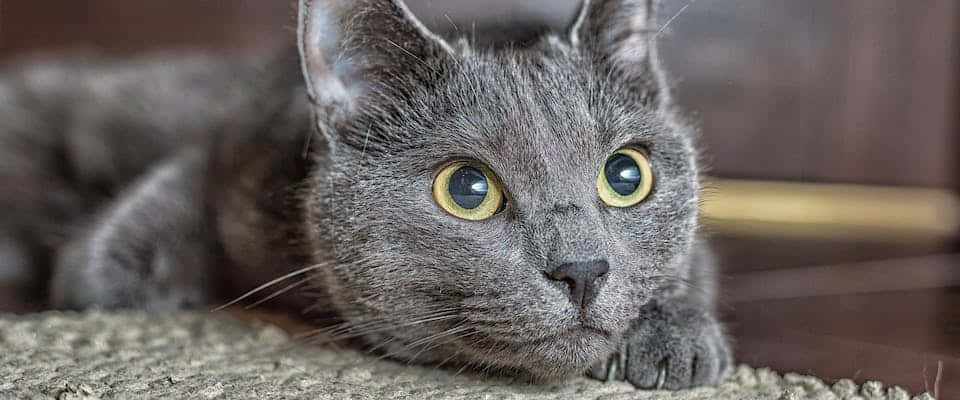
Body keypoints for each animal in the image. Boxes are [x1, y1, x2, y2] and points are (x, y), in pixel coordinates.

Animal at [0, 0, 732, 390]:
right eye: (467, 189)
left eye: (626, 175)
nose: (583, 269)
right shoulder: (222, 153)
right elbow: (101, 268)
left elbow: (693, 262)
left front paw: (676, 337)